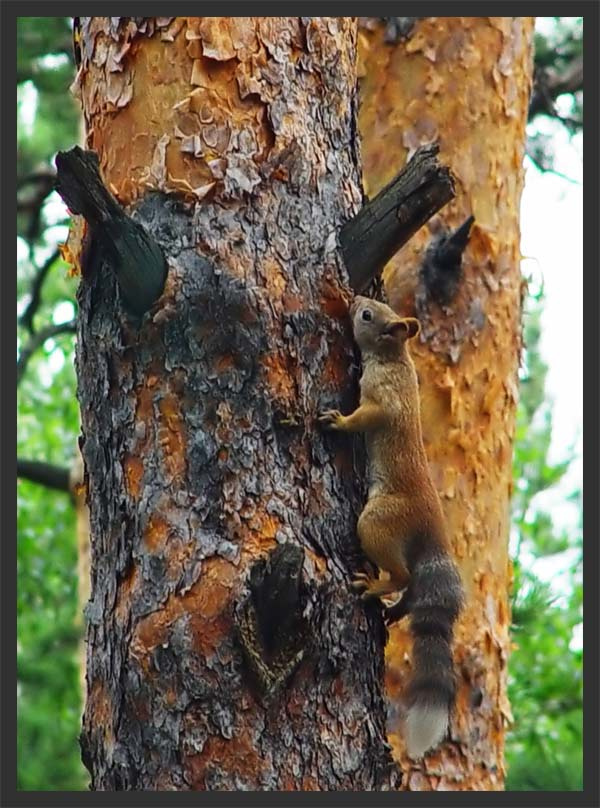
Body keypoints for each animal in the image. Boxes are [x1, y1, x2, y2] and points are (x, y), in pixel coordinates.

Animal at [319, 295, 464, 759]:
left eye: (368, 315)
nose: (353, 300)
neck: (395, 358)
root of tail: (432, 533)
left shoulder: (382, 402)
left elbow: (366, 417)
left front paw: (336, 421)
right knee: (413, 588)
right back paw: (392, 609)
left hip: (379, 521)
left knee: (401, 575)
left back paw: (374, 586)